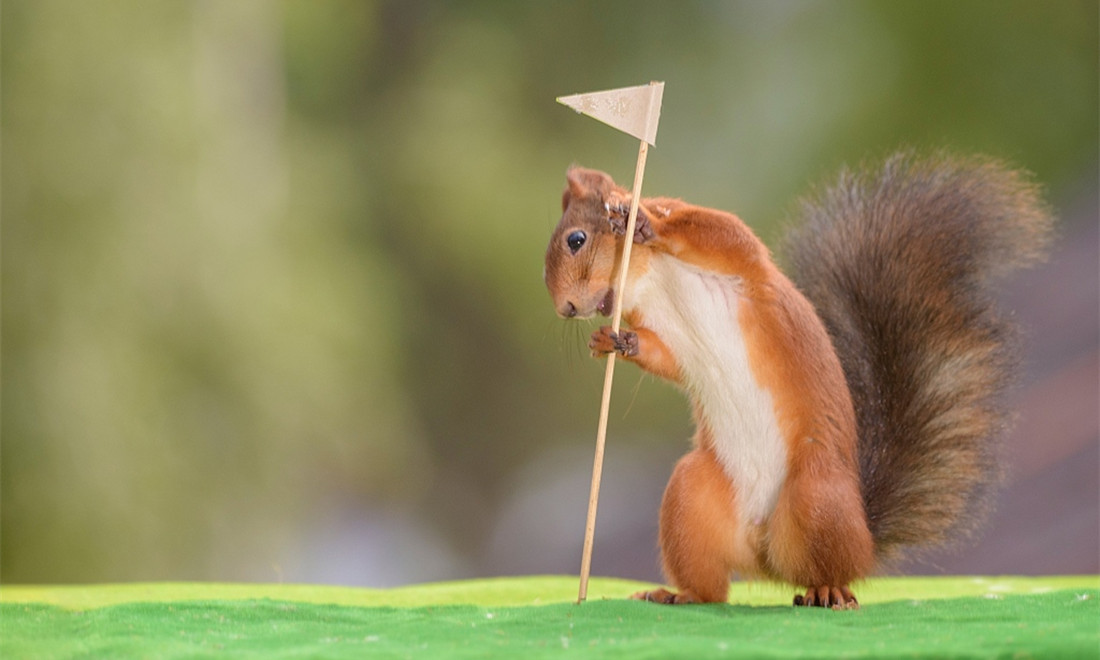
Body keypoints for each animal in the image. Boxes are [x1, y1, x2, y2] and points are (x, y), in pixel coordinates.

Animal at [543, 151, 1052, 609]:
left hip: (816, 494)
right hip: (690, 497)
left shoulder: (736, 254)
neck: (651, 278)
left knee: (832, 571)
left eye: (576, 239)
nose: (564, 309)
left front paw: (640, 221)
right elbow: (663, 356)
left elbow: (715, 230)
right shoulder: (664, 334)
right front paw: (610, 342)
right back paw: (678, 594)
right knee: (714, 589)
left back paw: (828, 591)